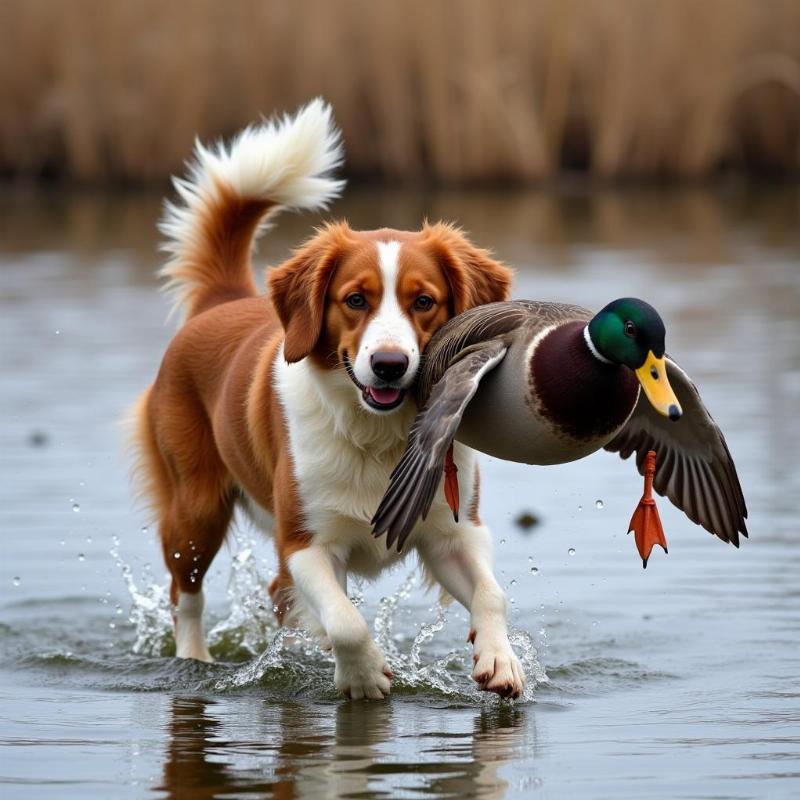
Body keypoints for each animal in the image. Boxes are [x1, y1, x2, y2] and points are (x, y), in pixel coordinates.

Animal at [130, 100, 524, 696]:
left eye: (424, 301)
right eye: (355, 300)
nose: (390, 364)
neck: (378, 434)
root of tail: (223, 298)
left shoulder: (455, 531)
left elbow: (491, 593)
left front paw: (499, 658)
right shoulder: (305, 543)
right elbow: (345, 621)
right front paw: (362, 676)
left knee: (274, 598)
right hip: (194, 512)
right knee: (188, 596)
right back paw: (196, 661)